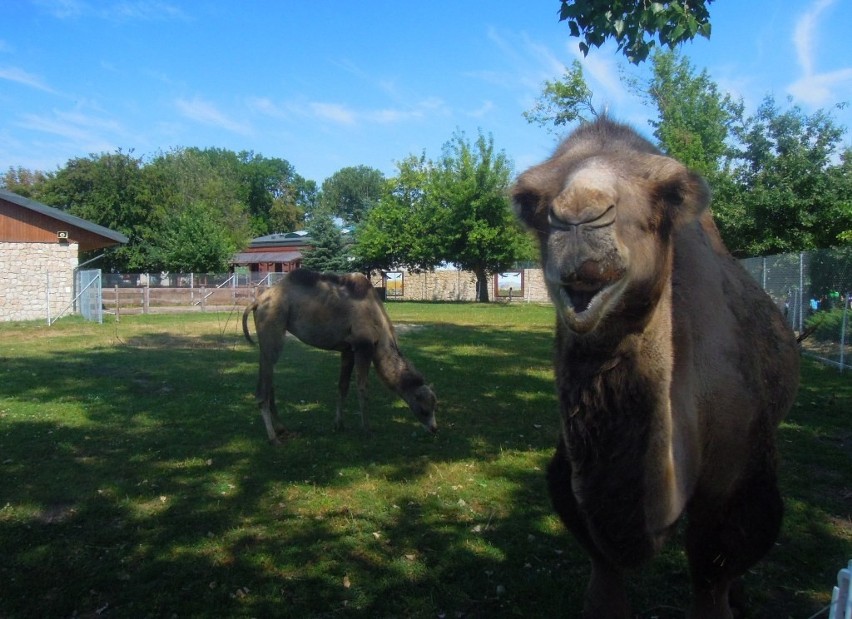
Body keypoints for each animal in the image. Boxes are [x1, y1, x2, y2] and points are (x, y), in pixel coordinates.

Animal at [241, 268, 436, 444]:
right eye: (424, 410)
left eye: (435, 406)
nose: (434, 429)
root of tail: (258, 302)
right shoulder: (363, 346)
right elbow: (363, 388)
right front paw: (367, 430)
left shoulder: (348, 349)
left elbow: (343, 386)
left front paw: (339, 425)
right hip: (273, 325)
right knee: (263, 388)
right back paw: (273, 438)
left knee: (269, 380)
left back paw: (283, 429)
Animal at [510, 117, 804, 619]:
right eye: (532, 199)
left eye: (667, 192)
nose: (579, 216)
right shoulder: (577, 493)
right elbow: (604, 577)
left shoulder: (739, 480)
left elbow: (713, 571)